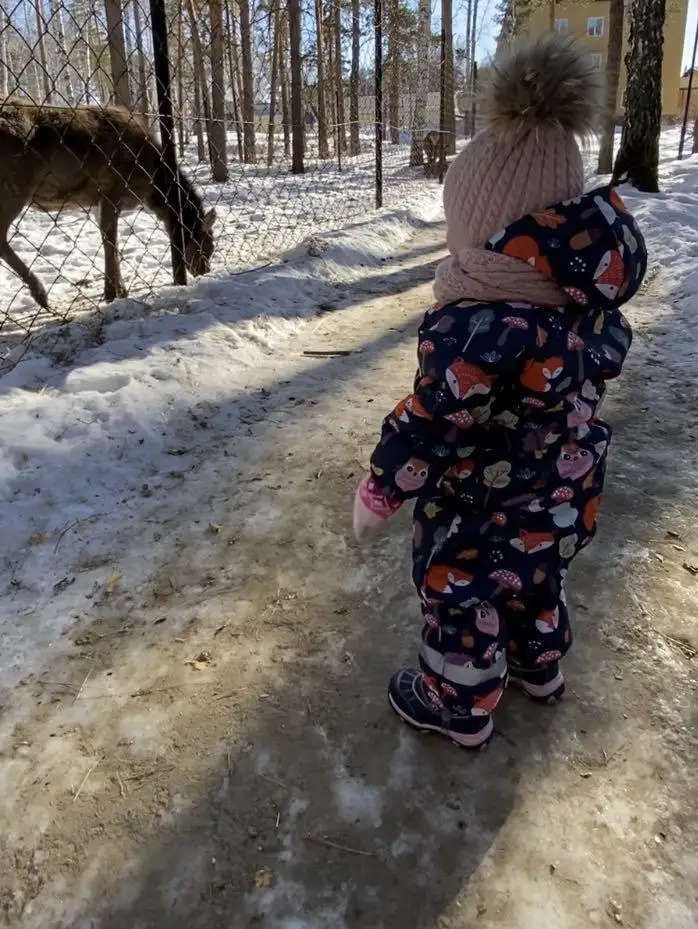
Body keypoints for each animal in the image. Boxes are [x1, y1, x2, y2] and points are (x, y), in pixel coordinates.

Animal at [0, 101, 216, 310]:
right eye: (205, 245)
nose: (204, 271)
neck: (153, 183)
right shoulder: (112, 188)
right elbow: (110, 239)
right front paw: (112, 293)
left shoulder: (97, 201)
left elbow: (110, 240)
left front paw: (118, 289)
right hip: (14, 187)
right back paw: (41, 294)